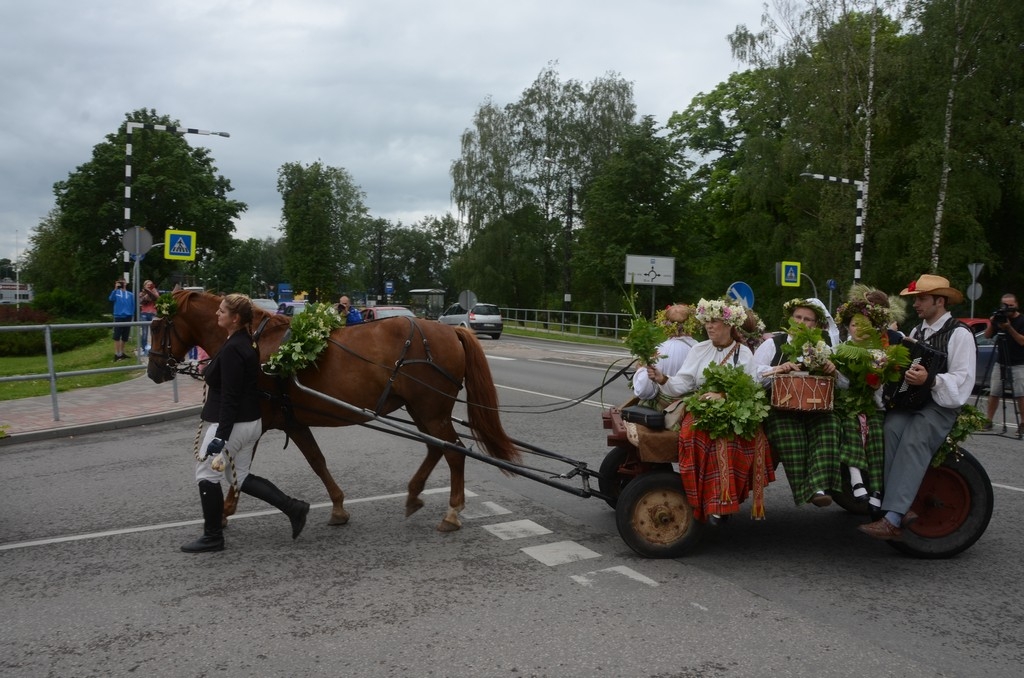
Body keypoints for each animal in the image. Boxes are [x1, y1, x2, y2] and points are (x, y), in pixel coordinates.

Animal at [149, 288, 520, 532]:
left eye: (155, 326)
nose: (154, 372)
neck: (256, 345)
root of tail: (450, 330)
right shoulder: (293, 422)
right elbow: (317, 462)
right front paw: (338, 506)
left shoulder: (258, 419)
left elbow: (241, 468)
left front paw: (224, 512)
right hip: (423, 411)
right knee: (436, 448)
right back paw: (415, 493)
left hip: (431, 411)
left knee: (454, 451)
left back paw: (452, 512)